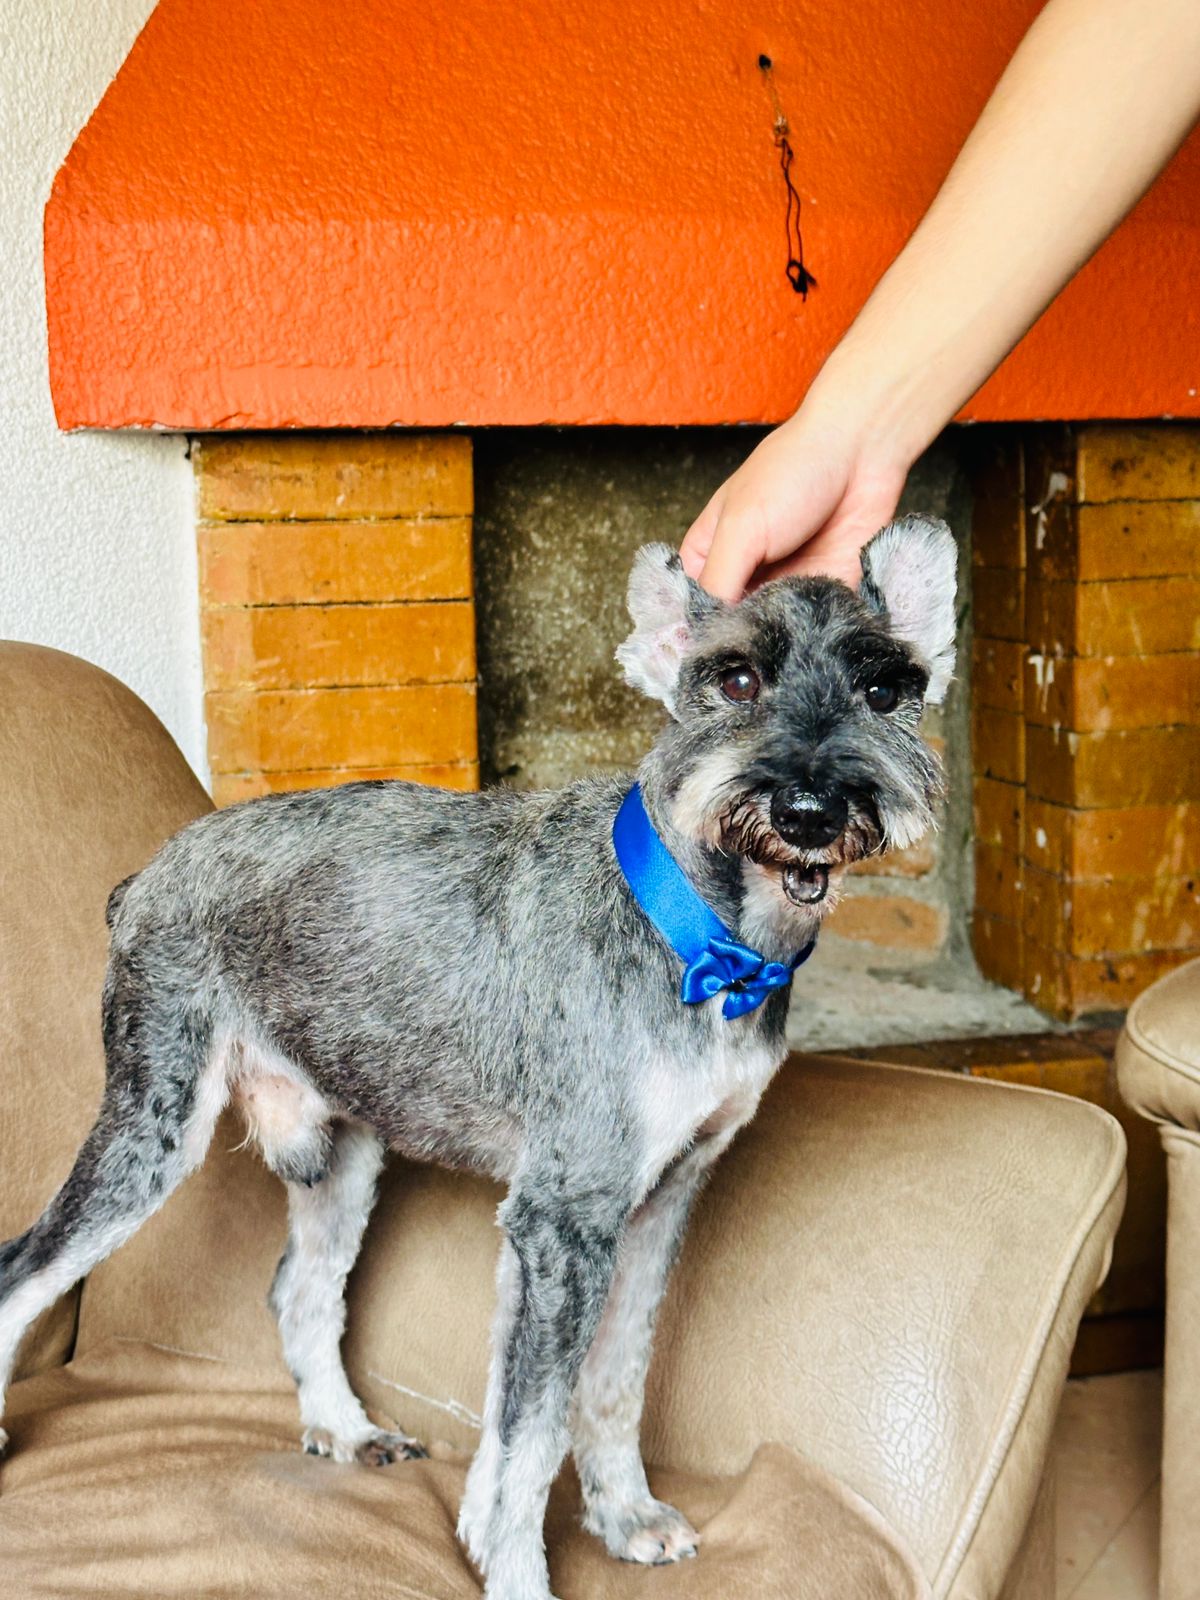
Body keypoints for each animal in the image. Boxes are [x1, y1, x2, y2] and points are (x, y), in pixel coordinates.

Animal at [0, 515, 956, 1600]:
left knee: (300, 1290)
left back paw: (345, 1429)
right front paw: (518, 1573)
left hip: (346, 1147)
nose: (809, 810)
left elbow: (609, 1381)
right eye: (738, 678)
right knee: (23, 1268)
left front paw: (625, 1516)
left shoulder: (653, 1206)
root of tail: (147, 874)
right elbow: (528, 1439)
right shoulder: (564, 1216)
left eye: (885, 688)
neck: (703, 935)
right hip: (150, 1128)